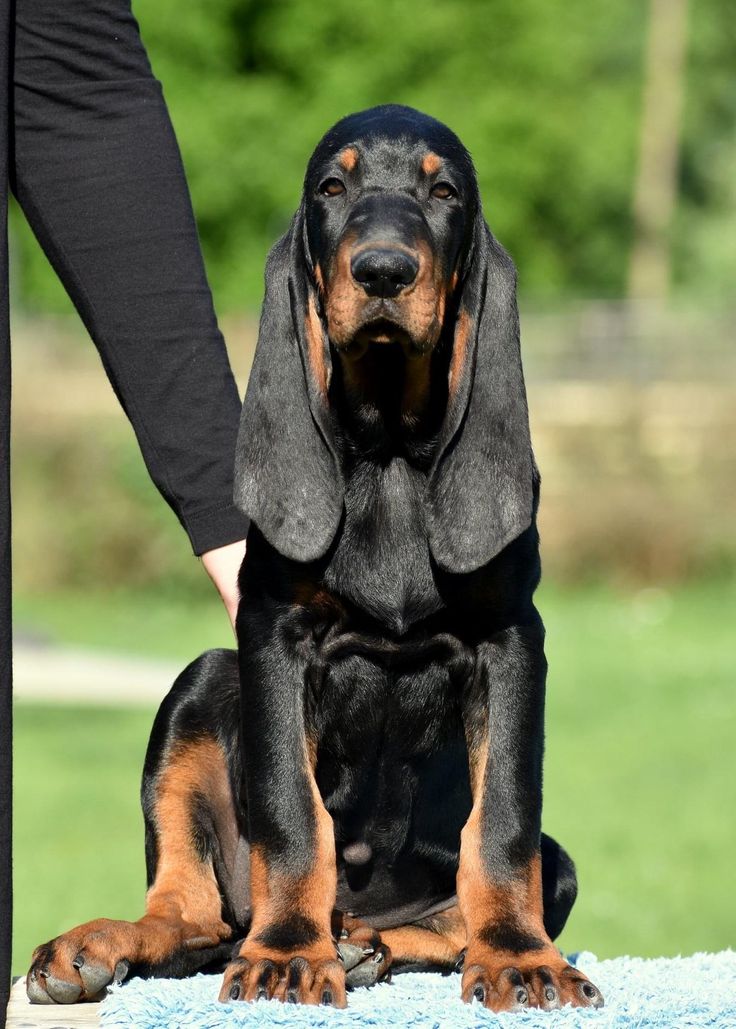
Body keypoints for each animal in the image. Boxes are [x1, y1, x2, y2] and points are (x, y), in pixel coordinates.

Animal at [27, 104, 605, 1012]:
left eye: (444, 191)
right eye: (333, 187)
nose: (383, 270)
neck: (389, 455)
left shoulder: (512, 640)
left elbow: (503, 822)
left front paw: (520, 955)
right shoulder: (273, 635)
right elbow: (294, 817)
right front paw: (291, 952)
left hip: (557, 861)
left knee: (448, 919)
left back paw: (372, 942)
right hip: (204, 678)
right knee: (192, 915)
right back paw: (110, 942)